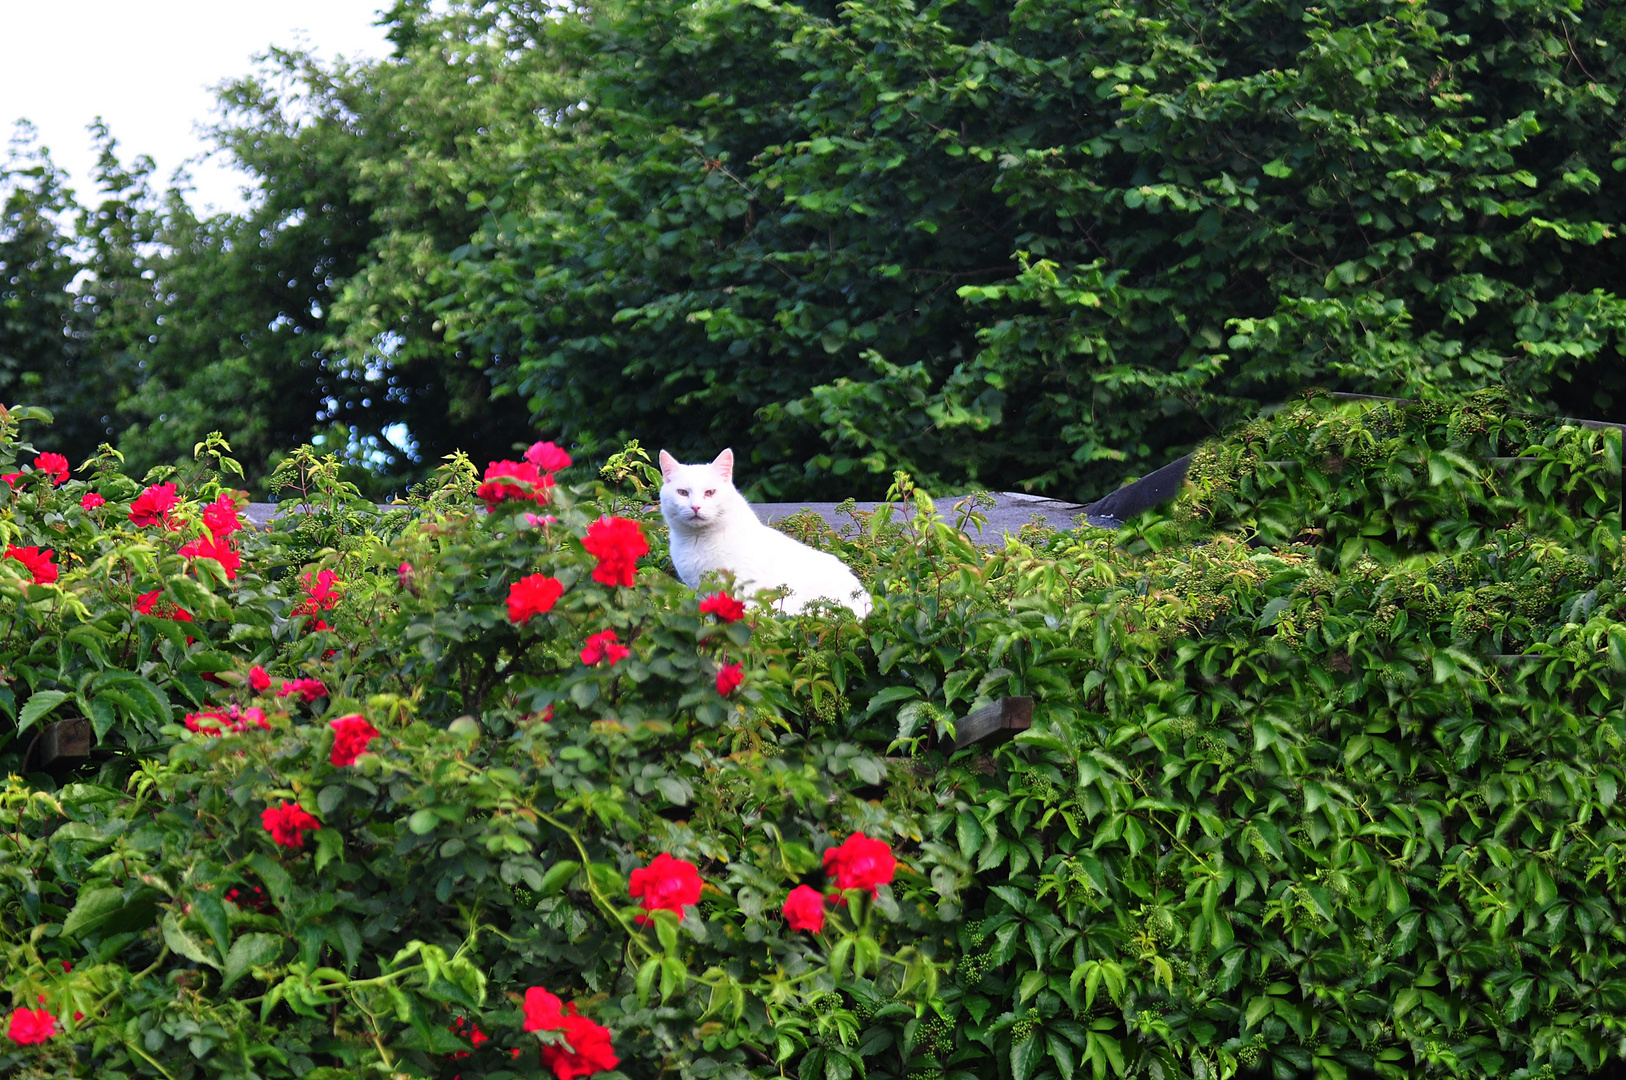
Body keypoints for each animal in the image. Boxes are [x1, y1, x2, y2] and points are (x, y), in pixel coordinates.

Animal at [653, 445, 871, 614]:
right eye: (682, 492)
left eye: (710, 492)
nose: (696, 507)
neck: (700, 541)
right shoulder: (703, 593)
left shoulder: (744, 589)